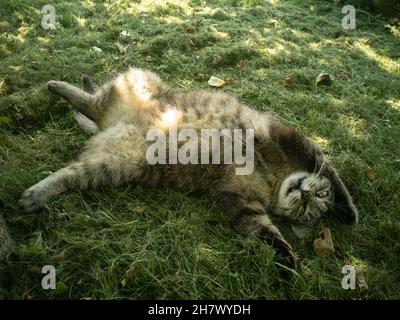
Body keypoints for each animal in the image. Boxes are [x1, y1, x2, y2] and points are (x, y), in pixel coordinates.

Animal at [18, 67, 360, 268]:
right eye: (319, 196)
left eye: (307, 210)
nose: (305, 195)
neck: (275, 179)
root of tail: (109, 125)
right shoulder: (291, 139)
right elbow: (336, 178)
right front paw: (349, 211)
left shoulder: (237, 198)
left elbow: (263, 231)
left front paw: (286, 258)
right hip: (137, 86)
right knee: (90, 100)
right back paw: (60, 85)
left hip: (111, 165)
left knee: (69, 172)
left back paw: (36, 194)